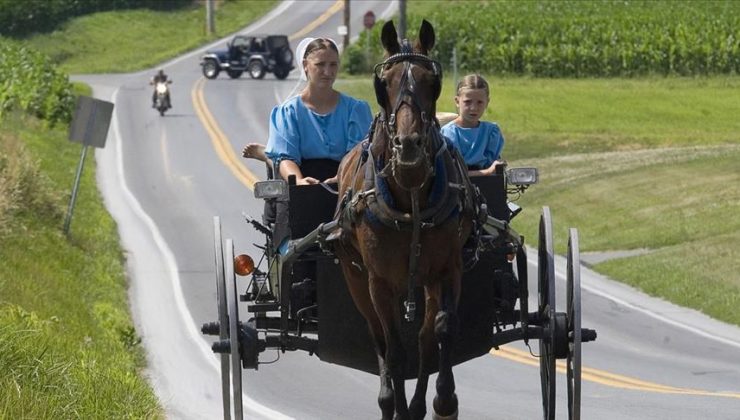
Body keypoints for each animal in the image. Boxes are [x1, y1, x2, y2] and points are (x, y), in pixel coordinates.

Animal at [332, 19, 476, 420]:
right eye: (384, 83)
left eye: (433, 81)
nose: (409, 145)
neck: (410, 195)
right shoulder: (379, 280)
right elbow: (394, 349)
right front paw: (395, 406)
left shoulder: (449, 268)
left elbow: (442, 330)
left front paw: (444, 401)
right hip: (356, 277)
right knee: (379, 337)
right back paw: (389, 402)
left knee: (425, 338)